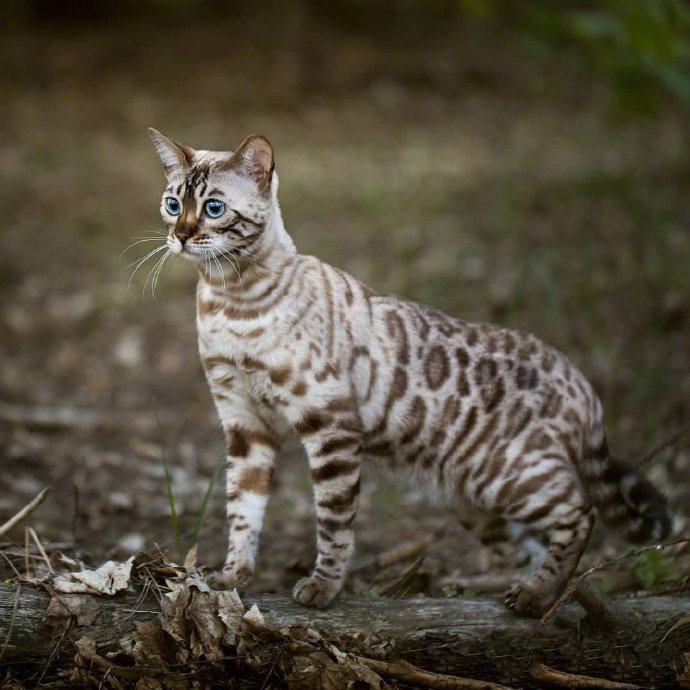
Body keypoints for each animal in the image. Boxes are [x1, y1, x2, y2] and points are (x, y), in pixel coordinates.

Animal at [148, 127, 668, 612]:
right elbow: (243, 511)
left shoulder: (330, 427)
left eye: (214, 208)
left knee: (579, 514)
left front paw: (323, 587)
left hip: (508, 476)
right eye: (173, 204)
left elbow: (333, 523)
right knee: (529, 544)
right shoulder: (244, 425)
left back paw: (536, 596)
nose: (181, 235)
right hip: (472, 497)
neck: (227, 300)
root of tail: (579, 378)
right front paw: (232, 577)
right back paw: (503, 587)